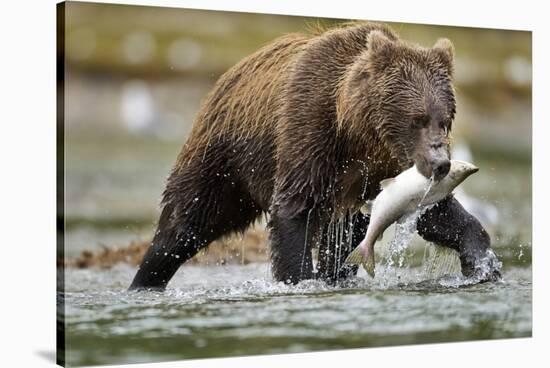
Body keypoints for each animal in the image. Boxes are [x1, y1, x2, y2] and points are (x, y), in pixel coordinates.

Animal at [128, 21, 500, 290]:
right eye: (417, 119)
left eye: (445, 119)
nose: (440, 163)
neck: (358, 134)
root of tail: (227, 77)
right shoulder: (309, 131)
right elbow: (294, 211)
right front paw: (300, 279)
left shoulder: (387, 169)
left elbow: (435, 212)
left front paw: (483, 264)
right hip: (223, 160)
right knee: (184, 224)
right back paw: (145, 281)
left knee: (347, 242)